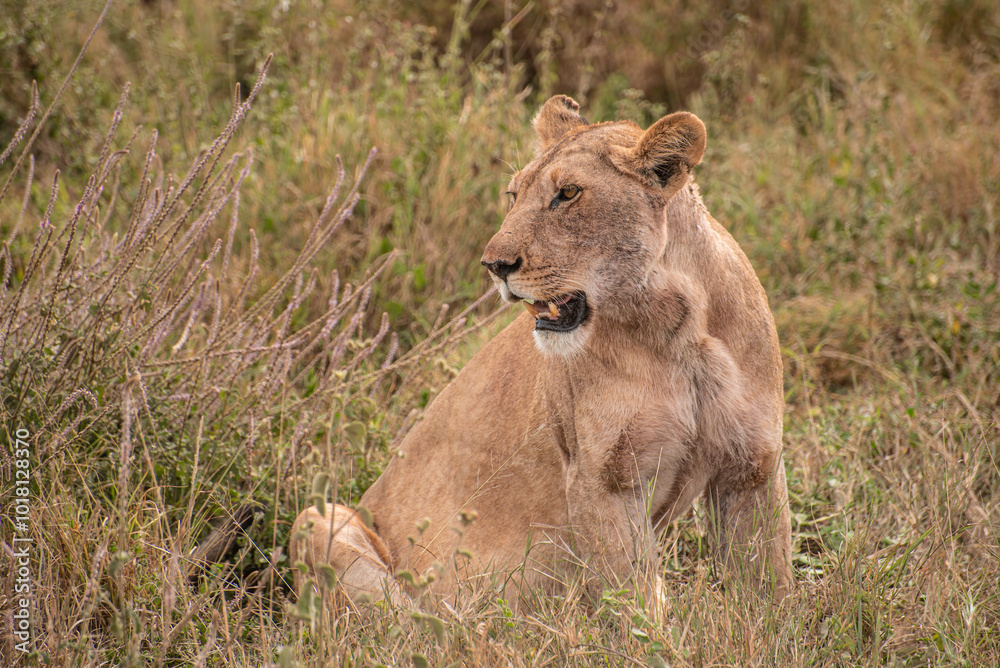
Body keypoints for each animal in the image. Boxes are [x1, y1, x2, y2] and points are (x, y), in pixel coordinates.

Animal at [289, 95, 794, 610]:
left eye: (567, 194)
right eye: (514, 195)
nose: (494, 265)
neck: (677, 329)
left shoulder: (753, 465)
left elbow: (767, 587)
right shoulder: (601, 480)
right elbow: (632, 601)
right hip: (316, 518)